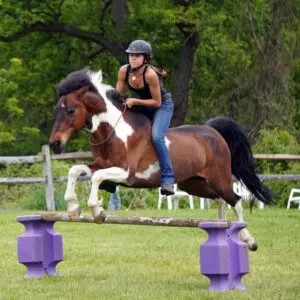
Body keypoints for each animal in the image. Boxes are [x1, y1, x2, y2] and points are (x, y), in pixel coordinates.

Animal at [48, 68, 274, 251]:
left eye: (71, 110)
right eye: (56, 110)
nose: (54, 144)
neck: (114, 130)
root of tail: (213, 131)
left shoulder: (127, 173)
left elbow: (96, 179)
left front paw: (97, 211)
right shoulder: (100, 165)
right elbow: (75, 171)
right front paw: (73, 207)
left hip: (219, 178)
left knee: (235, 200)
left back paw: (248, 239)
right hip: (194, 183)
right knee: (219, 199)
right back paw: (222, 229)